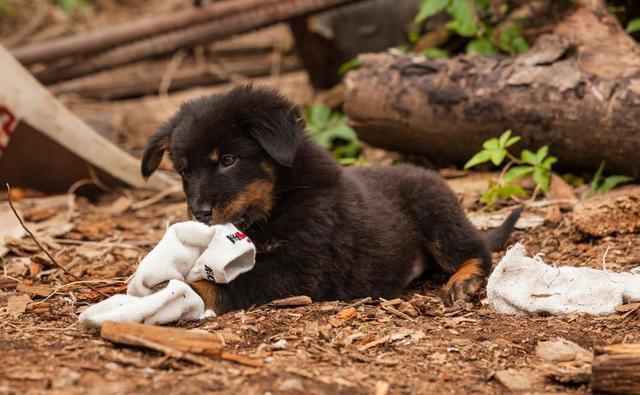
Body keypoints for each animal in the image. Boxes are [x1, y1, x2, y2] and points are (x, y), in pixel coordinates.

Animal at [140, 85, 520, 314]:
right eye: (184, 172)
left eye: (228, 161)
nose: (199, 212)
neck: (281, 201)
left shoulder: (302, 269)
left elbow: (226, 284)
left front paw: (171, 291)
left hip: (435, 212)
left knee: (477, 251)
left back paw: (463, 280)